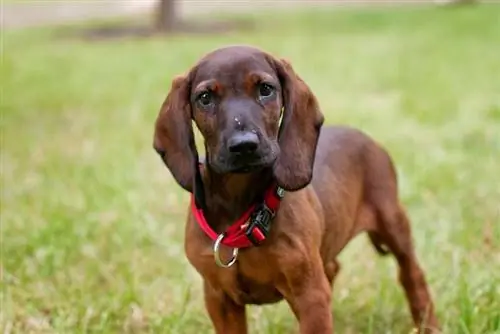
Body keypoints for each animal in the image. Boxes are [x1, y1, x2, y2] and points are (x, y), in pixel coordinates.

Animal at [154, 45, 440, 334]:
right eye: (205, 97)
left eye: (265, 89)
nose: (244, 145)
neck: (244, 209)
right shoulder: (219, 298)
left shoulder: (310, 295)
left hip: (393, 223)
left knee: (412, 274)